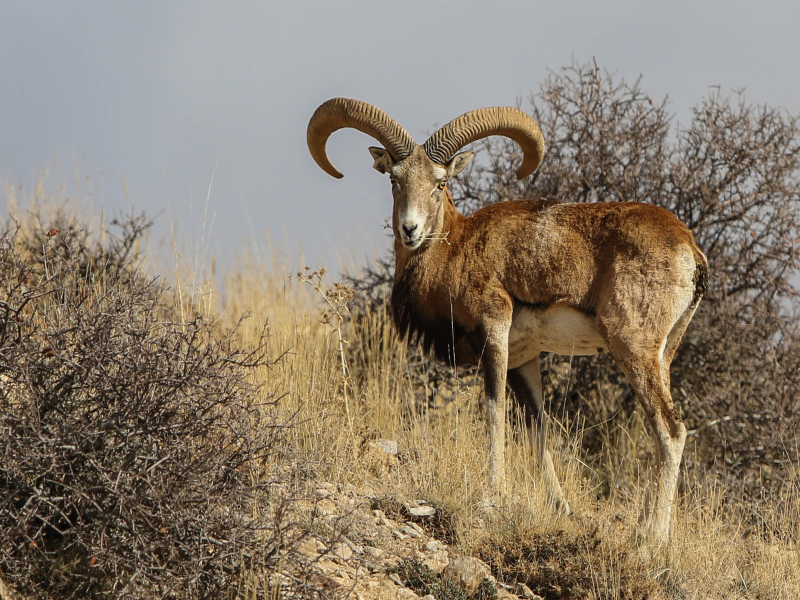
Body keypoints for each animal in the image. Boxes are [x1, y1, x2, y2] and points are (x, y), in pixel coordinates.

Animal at [304, 98, 708, 544]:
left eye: (440, 184)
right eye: (395, 178)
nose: (411, 229)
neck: (455, 249)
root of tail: (689, 251)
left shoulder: (493, 332)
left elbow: (494, 413)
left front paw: (492, 497)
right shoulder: (523, 362)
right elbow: (538, 429)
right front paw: (560, 508)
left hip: (634, 350)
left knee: (671, 431)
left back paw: (651, 538)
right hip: (662, 356)